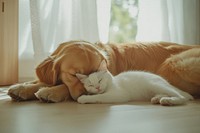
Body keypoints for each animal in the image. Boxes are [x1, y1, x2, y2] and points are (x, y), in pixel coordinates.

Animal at [7, 40, 200, 102]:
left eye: (97, 73)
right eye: (74, 74)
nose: (88, 92)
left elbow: (63, 88)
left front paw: (50, 92)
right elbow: (40, 80)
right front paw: (22, 88)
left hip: (172, 63)